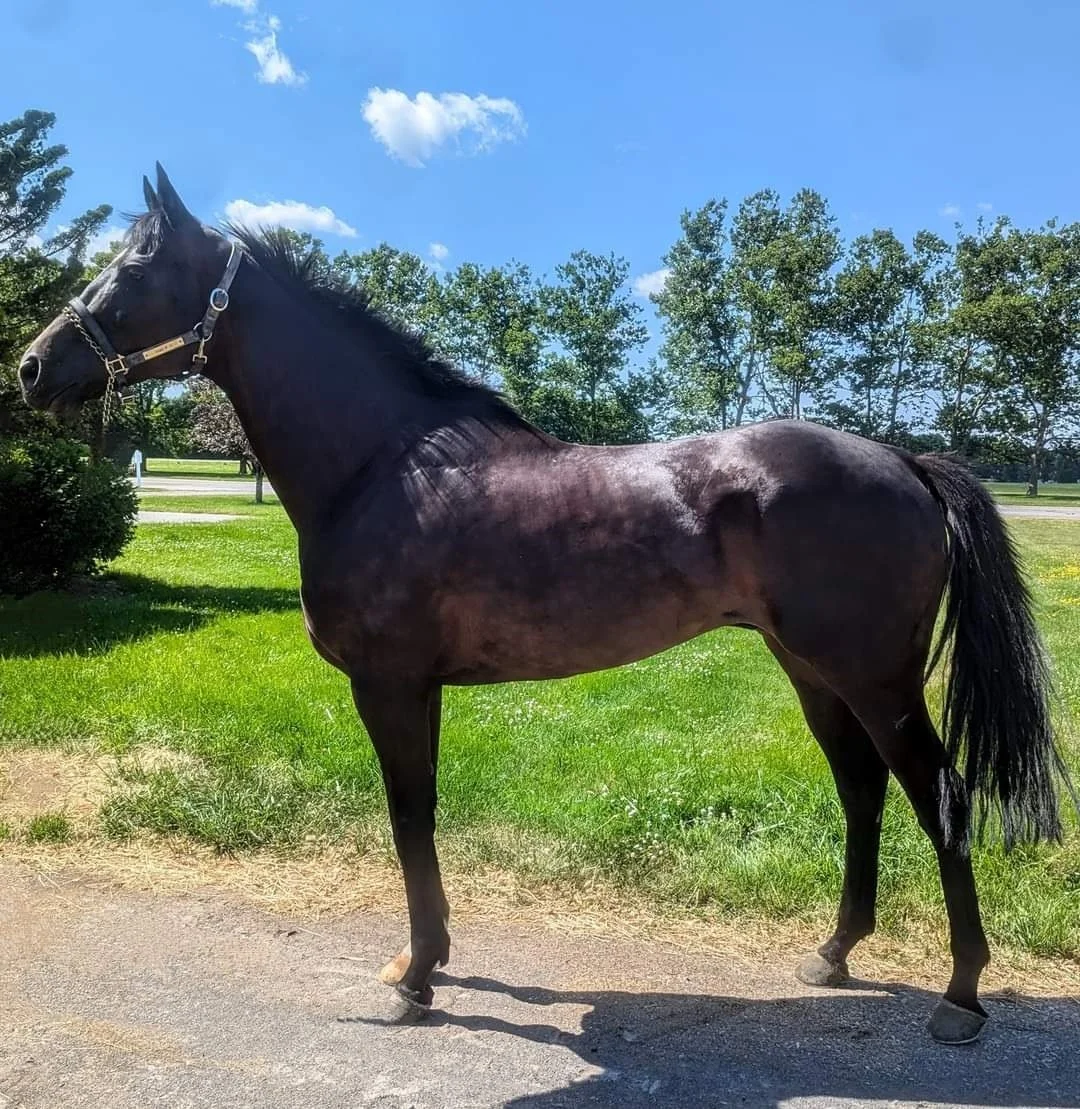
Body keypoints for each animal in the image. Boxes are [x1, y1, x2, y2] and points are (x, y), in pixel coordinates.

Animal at [19, 165, 1071, 1045]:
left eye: (130, 271)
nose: (31, 367)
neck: (381, 467)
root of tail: (904, 459)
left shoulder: (388, 684)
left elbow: (408, 814)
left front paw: (415, 980)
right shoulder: (421, 688)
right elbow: (424, 813)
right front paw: (430, 959)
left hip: (876, 677)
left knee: (939, 796)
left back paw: (961, 997)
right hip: (812, 670)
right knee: (862, 790)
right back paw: (834, 953)